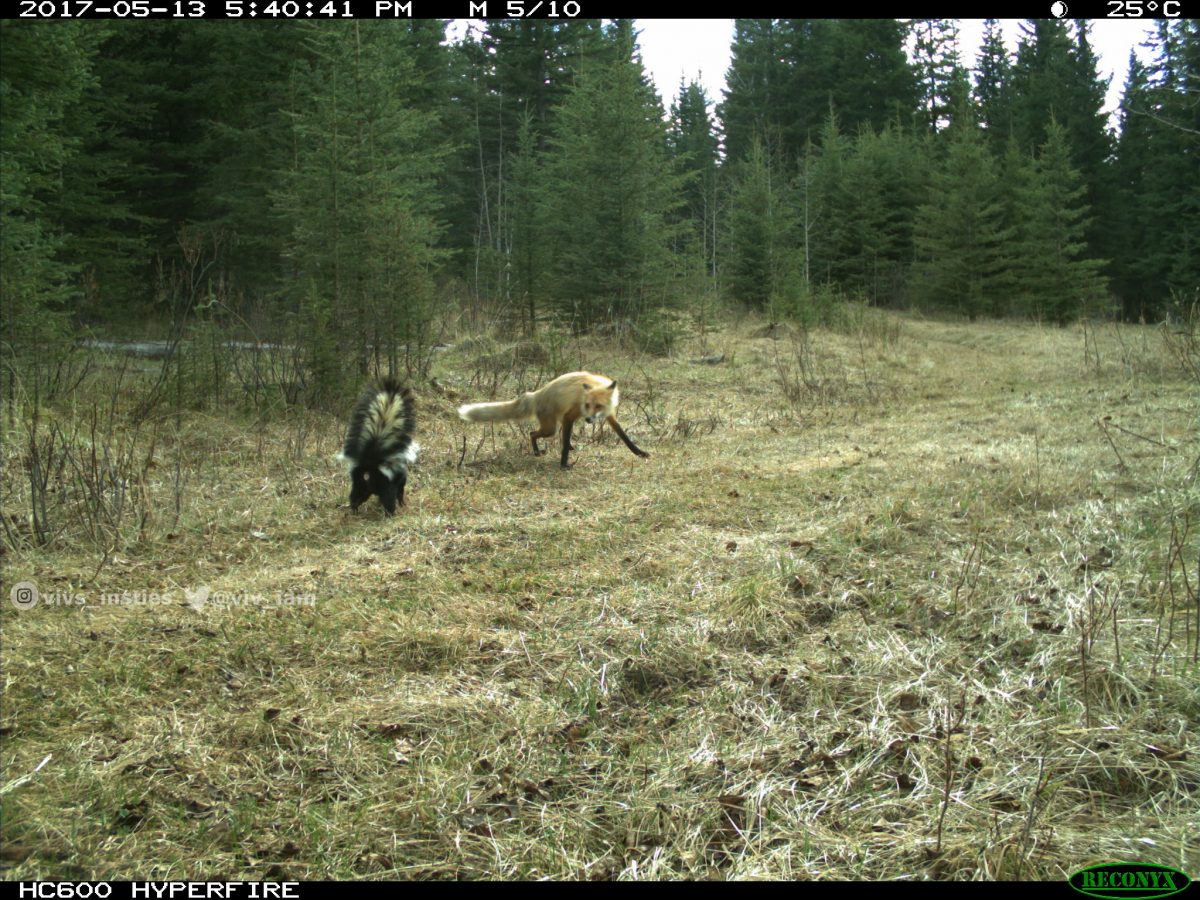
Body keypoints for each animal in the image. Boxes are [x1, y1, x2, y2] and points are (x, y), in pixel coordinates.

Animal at [457, 371, 650, 469]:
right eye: (587, 405)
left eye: (598, 406)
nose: (588, 420)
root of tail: (536, 393)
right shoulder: (570, 416)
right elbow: (563, 445)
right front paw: (564, 464)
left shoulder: (610, 416)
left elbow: (625, 437)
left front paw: (639, 453)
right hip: (551, 428)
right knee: (532, 433)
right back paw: (537, 452)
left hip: (552, 426)